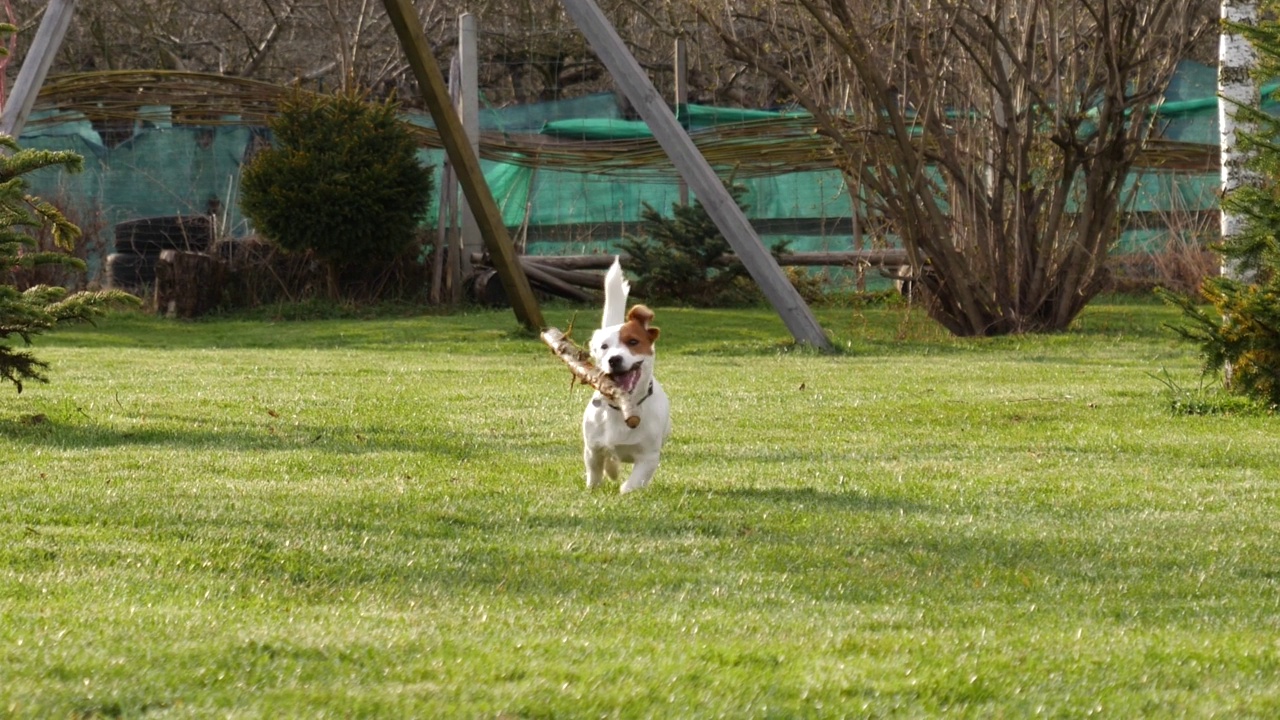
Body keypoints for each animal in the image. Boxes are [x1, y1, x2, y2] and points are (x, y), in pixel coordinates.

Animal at [586, 258, 675, 491]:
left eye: (633, 341)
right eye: (604, 347)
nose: (614, 359)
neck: (622, 408)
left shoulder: (649, 456)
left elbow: (633, 483)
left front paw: (626, 490)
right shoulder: (592, 448)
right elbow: (594, 472)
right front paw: (594, 486)